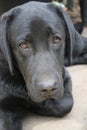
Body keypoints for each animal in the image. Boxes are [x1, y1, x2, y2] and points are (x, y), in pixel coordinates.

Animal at [0, 1, 86, 130]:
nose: (48, 88)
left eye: (56, 39)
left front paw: (37, 105)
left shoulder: (64, 78)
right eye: (23, 45)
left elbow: (65, 104)